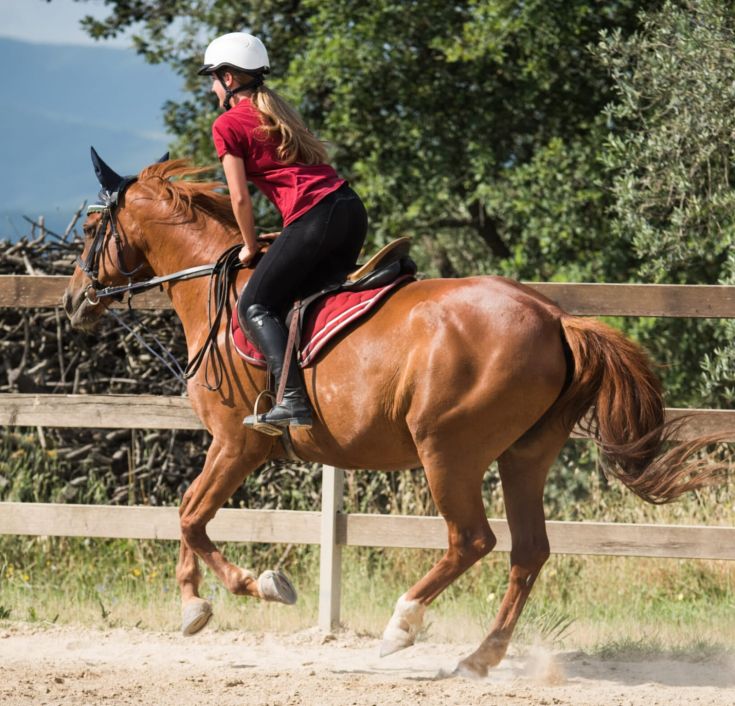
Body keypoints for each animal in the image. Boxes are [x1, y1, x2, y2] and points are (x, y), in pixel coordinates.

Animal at [63, 154, 723, 677]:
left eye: (92, 227)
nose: (73, 301)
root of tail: (555, 317)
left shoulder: (238, 442)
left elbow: (192, 516)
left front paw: (254, 587)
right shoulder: (228, 447)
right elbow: (186, 515)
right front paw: (193, 606)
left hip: (448, 451)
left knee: (473, 539)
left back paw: (400, 626)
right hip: (525, 455)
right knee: (528, 551)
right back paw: (479, 657)